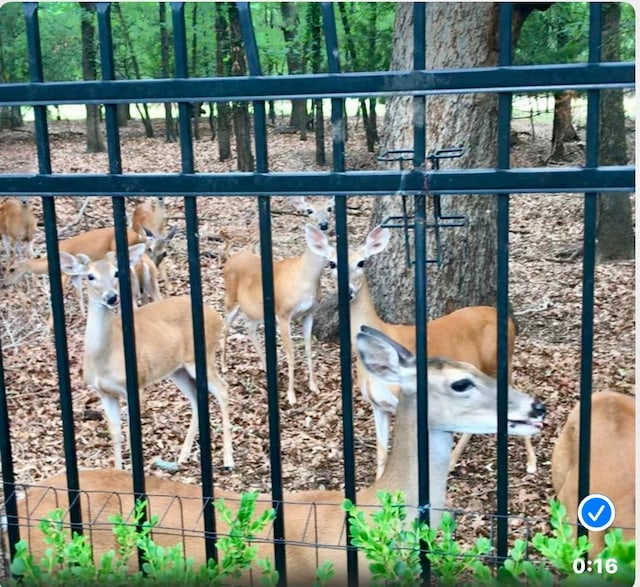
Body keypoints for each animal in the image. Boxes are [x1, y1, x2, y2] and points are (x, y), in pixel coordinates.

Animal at [58, 243, 234, 474]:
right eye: (90, 276)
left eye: (116, 273)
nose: (112, 297)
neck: (104, 359)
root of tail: (216, 315)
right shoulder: (104, 393)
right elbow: (116, 433)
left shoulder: (136, 385)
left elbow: (133, 432)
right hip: (177, 370)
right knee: (197, 397)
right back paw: (183, 456)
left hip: (202, 355)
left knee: (222, 389)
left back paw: (228, 460)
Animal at [221, 223, 330, 406]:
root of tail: (230, 258)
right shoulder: (283, 314)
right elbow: (291, 353)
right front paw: (291, 395)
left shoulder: (309, 313)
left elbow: (308, 349)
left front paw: (314, 386)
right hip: (232, 299)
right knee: (225, 327)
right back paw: (222, 366)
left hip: (257, 311)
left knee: (249, 328)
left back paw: (266, 366)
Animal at [310, 226, 536, 482]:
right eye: (331, 263)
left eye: (361, 262)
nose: (347, 291)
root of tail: (507, 319)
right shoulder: (377, 405)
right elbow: (381, 451)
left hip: (501, 361)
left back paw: (531, 462)